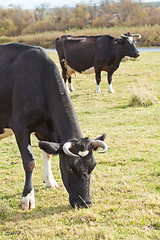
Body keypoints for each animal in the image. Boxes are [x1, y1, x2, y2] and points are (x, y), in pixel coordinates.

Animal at [0, 43, 107, 210]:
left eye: (93, 166)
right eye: (70, 168)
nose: (85, 203)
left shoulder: (45, 130)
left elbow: (47, 153)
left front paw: (50, 181)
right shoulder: (20, 127)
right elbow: (29, 162)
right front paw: (27, 198)